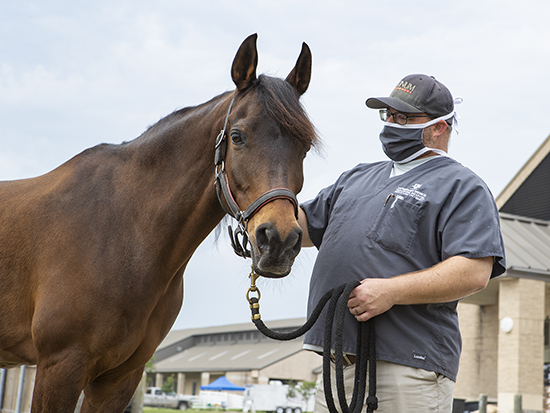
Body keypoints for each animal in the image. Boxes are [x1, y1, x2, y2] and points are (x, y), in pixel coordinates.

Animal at [0, 34, 316, 412]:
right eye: (237, 136)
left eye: (305, 147)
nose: (279, 241)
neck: (125, 234)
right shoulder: (59, 367)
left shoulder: (119, 378)